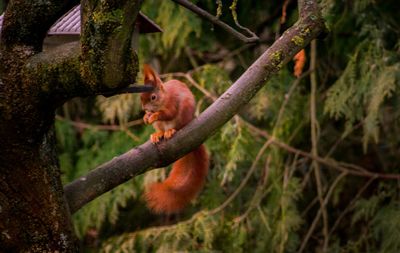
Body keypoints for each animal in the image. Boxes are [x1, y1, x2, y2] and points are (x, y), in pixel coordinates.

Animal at [141, 64, 209, 213]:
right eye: (141, 97)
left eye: (153, 97)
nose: (145, 108)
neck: (164, 98)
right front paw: (145, 117)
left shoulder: (172, 103)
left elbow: (168, 113)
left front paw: (154, 115)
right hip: (159, 126)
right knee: (160, 129)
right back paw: (158, 134)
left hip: (183, 116)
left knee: (176, 126)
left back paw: (170, 131)